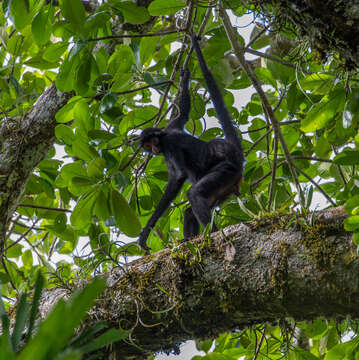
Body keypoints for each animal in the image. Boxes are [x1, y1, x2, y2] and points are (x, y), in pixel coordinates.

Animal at [138, 35, 245, 252]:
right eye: (146, 146)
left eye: (152, 142)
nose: (153, 149)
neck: (164, 136)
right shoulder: (172, 125)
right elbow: (183, 111)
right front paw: (185, 76)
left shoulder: (170, 145)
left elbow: (178, 178)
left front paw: (146, 231)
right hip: (224, 189)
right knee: (190, 209)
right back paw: (190, 239)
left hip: (226, 171)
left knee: (194, 193)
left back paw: (212, 234)